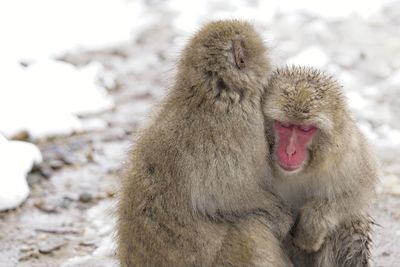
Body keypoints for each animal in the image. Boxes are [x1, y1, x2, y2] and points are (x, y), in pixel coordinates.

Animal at [115, 19, 294, 267]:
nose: (273, 68)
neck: (211, 95)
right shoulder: (243, 129)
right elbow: (224, 194)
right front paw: (281, 215)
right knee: (251, 230)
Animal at [262, 65, 378, 267]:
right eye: (284, 125)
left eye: (305, 129)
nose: (290, 151)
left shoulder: (348, 153)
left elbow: (359, 191)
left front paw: (313, 223)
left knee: (349, 230)